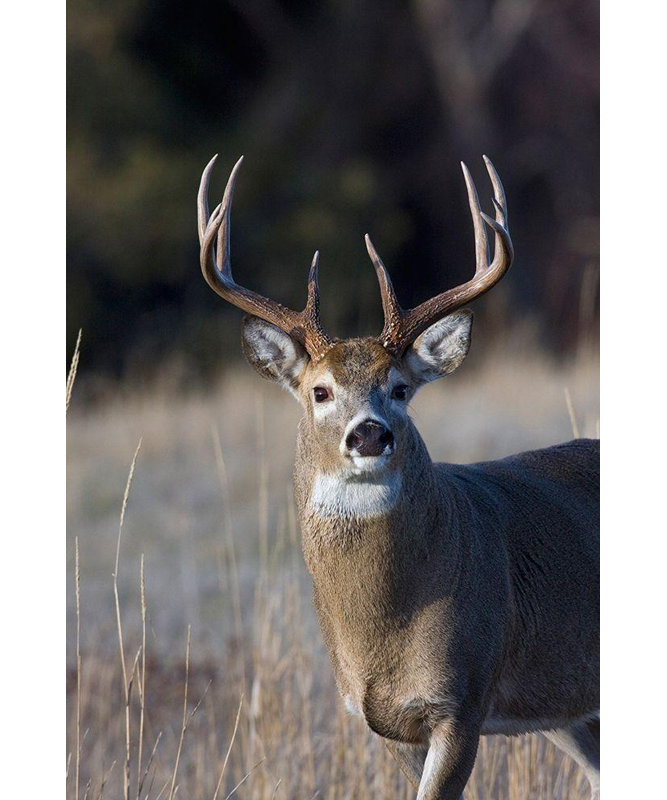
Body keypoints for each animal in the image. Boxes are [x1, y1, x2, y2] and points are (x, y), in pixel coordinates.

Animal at [196, 154, 600, 800]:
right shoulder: (383, 723)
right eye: (320, 390)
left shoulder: (462, 698)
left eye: (401, 388)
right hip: (572, 710)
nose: (369, 434)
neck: (383, 633)